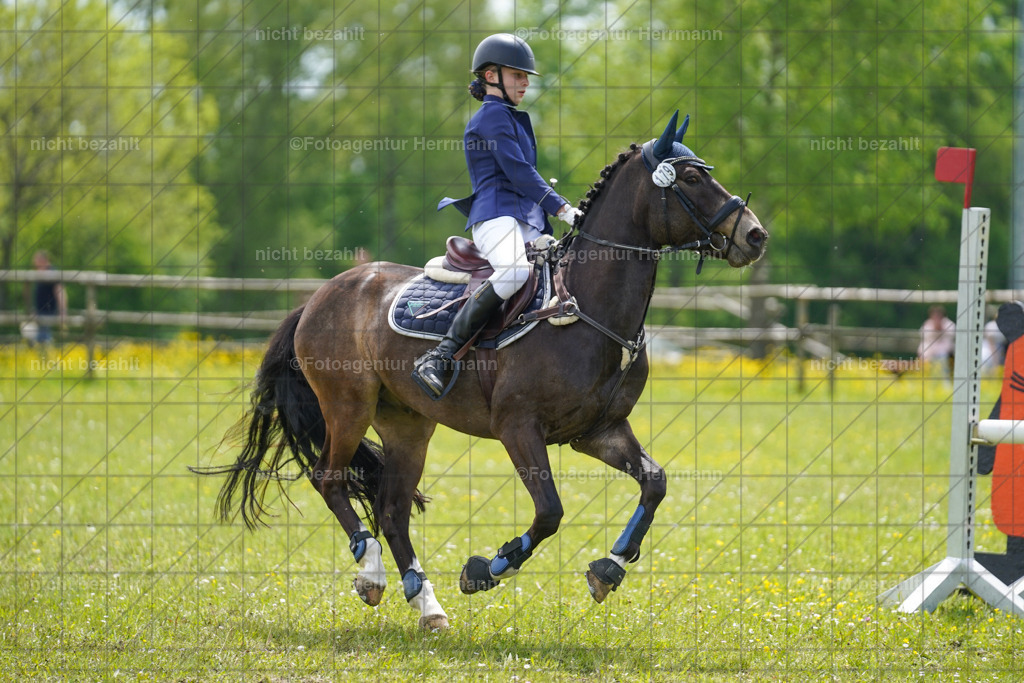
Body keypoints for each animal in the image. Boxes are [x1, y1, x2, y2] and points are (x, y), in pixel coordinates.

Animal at [193, 111, 768, 630]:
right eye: (691, 179)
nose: (756, 236)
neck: (587, 308)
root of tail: (323, 293)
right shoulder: (518, 427)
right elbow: (550, 511)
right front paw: (487, 569)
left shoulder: (598, 431)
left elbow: (655, 483)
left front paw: (609, 567)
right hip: (347, 406)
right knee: (330, 479)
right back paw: (372, 572)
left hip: (408, 425)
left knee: (392, 511)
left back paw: (426, 604)